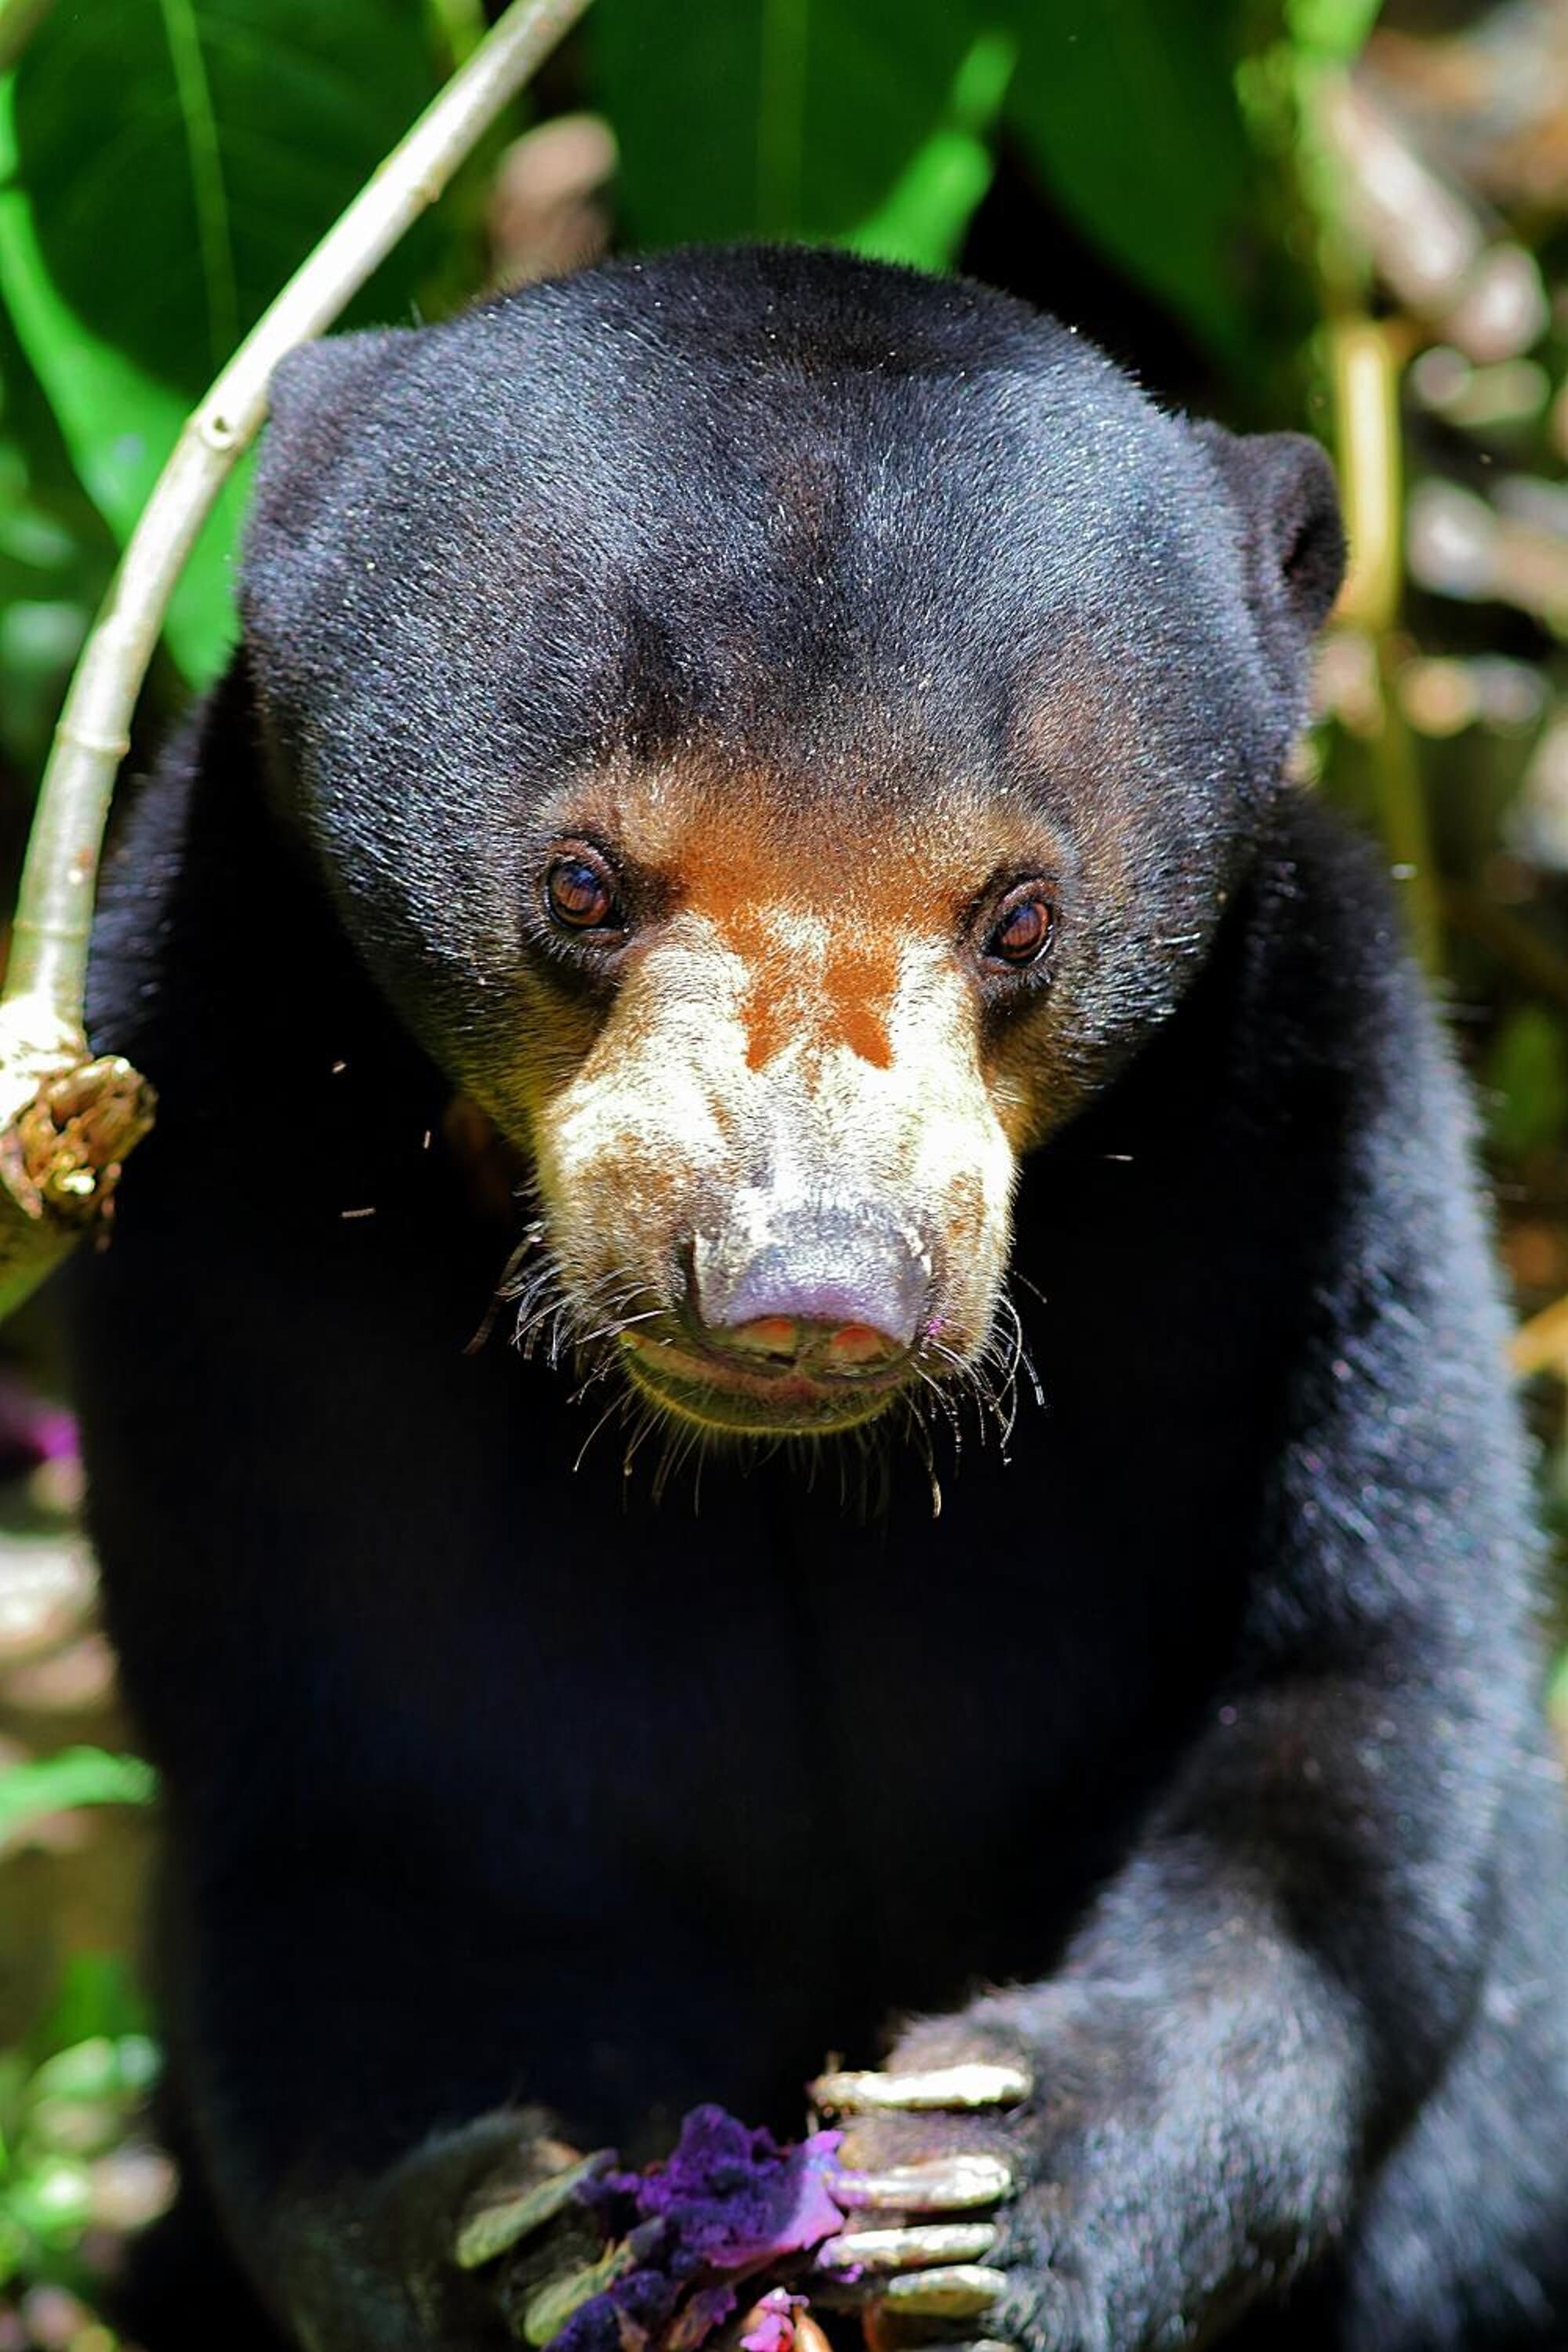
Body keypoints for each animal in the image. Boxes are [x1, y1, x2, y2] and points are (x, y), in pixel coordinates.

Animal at [64, 245, 1568, 2352]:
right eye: (583, 882)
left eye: (1020, 915)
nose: (810, 1290)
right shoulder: (224, 1170)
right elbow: (353, 1800)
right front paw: (514, 2236)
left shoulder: (1315, 1140)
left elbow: (1345, 1722)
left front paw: (987, 2172)